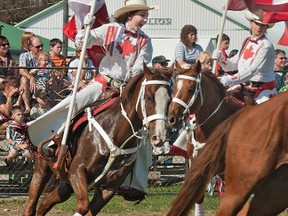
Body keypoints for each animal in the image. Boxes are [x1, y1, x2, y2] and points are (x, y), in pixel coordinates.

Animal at [23, 66, 171, 216]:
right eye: (149, 97)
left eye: (169, 100)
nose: (159, 135)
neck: (115, 135)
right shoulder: (77, 170)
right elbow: (84, 206)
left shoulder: (109, 188)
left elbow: (88, 210)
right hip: (42, 169)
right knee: (31, 205)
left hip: (66, 184)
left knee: (46, 202)